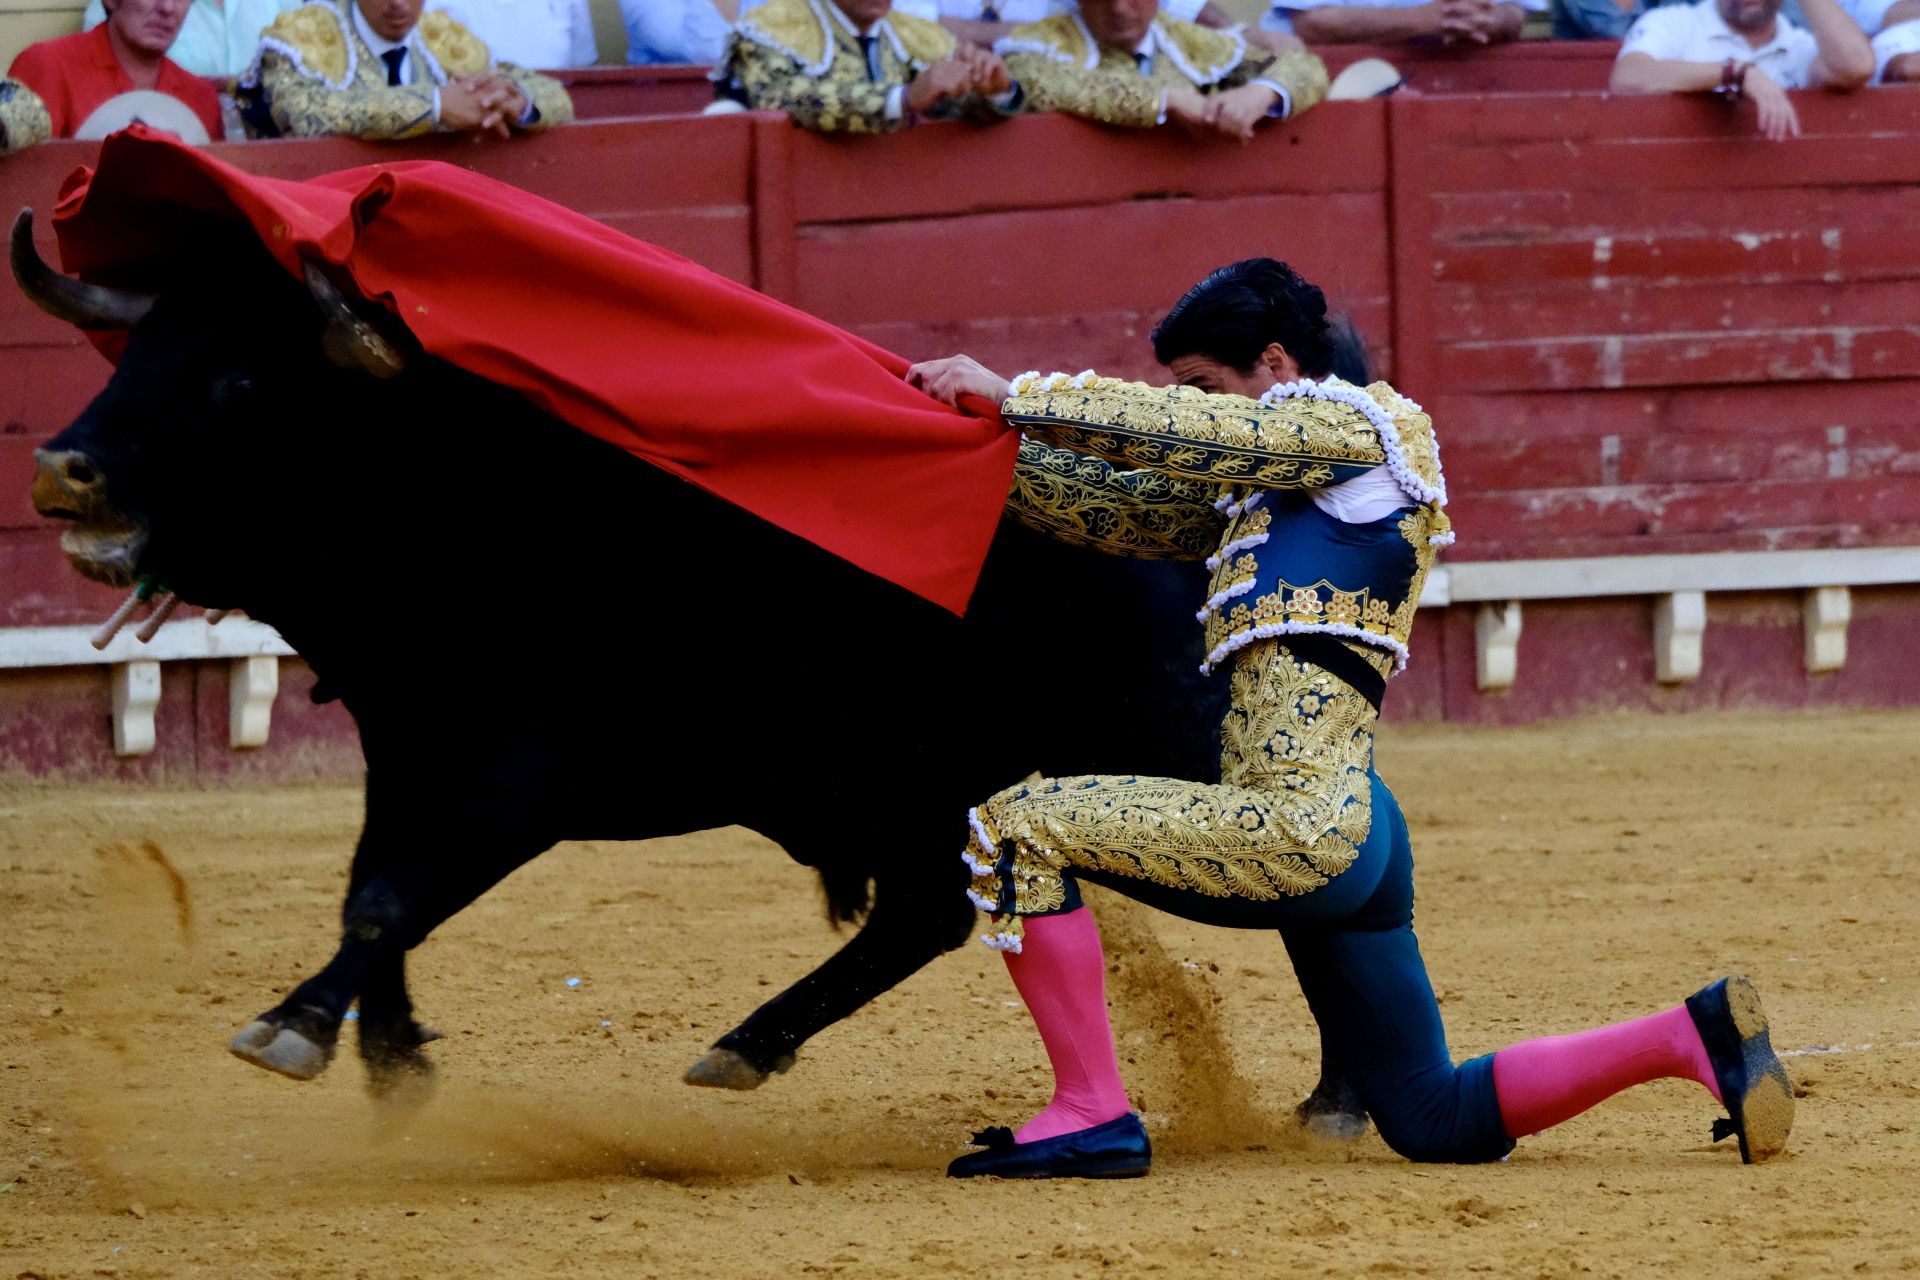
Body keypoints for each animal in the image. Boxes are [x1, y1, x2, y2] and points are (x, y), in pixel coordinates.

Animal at [22, 217, 1359, 1128]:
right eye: (132, 350)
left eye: (241, 378)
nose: (59, 468)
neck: (458, 501)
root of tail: (1204, 509)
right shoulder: (405, 759)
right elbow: (375, 894)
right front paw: (396, 1063)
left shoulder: (509, 784)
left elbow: (389, 899)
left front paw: (295, 1028)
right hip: (919, 782)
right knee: (925, 909)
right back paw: (747, 1044)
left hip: (1181, 755)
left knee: (1309, 877)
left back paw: (1343, 1097)